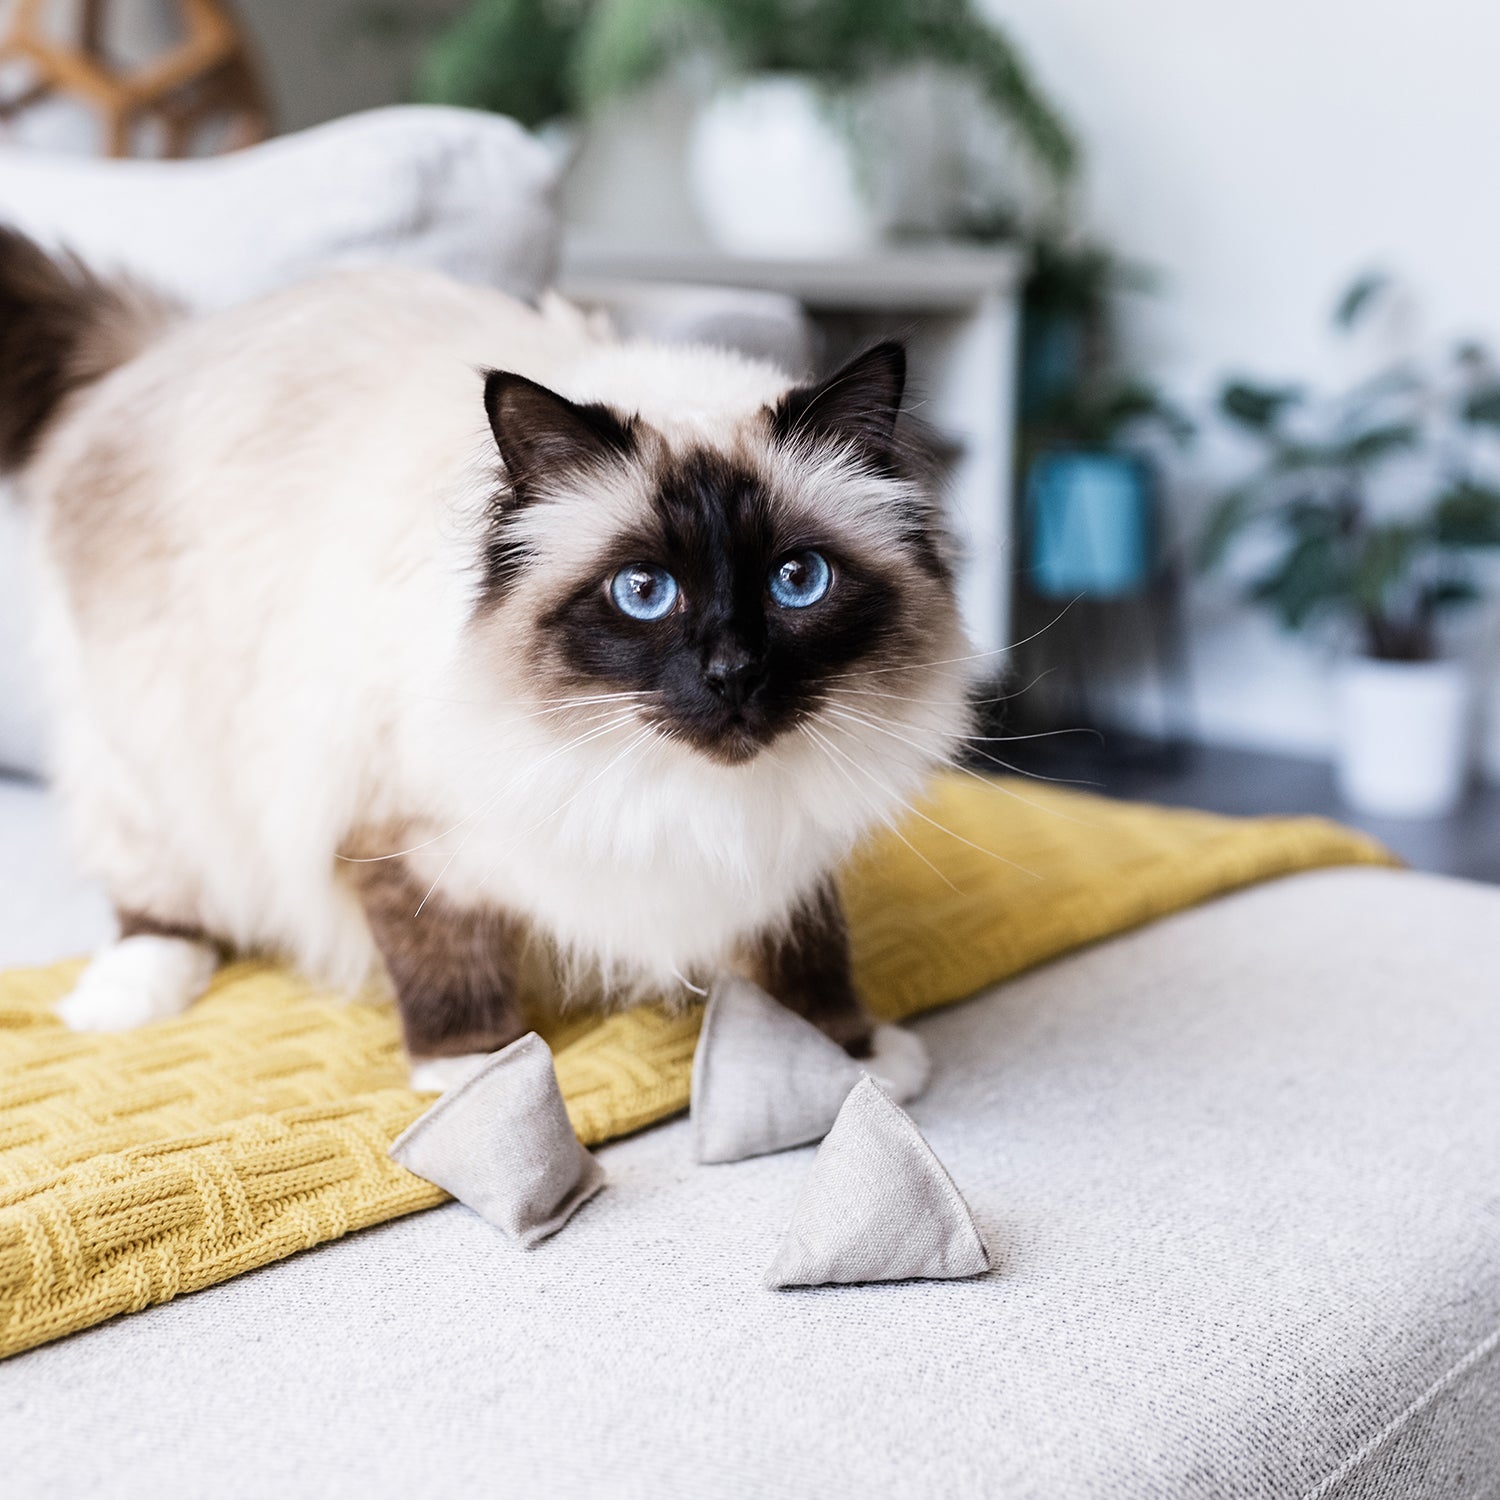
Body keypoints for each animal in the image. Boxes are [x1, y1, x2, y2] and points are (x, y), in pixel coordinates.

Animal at [0, 225, 972, 1092]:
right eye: (644, 590)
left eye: (796, 581)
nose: (732, 673)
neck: (681, 793)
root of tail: (169, 339)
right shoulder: (401, 834)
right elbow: (446, 960)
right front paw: (477, 1075)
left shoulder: (789, 850)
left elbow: (810, 946)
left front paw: (851, 1052)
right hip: (158, 752)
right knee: (155, 890)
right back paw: (125, 996)